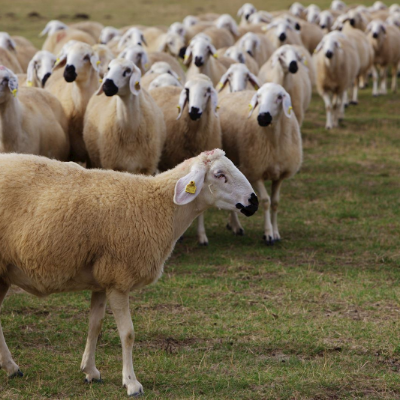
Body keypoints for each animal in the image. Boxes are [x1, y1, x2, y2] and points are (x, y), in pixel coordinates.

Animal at [0, 148, 258, 396]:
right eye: (219, 175)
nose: (253, 202)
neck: (159, 207)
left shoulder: (102, 279)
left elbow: (95, 325)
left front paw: (90, 370)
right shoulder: (119, 280)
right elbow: (128, 334)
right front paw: (132, 383)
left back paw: (11, 367)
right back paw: (11, 366)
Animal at [219, 81, 300, 244]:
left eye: (279, 97)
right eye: (259, 97)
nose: (262, 117)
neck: (274, 141)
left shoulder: (280, 176)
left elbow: (275, 202)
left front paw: (276, 232)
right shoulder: (255, 172)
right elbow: (265, 201)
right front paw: (268, 234)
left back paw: (232, 224)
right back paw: (236, 226)